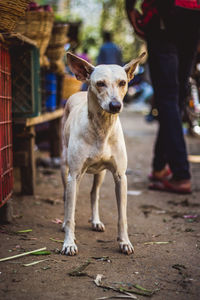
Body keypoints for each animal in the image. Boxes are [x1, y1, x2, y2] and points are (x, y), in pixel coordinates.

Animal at [61, 51, 145, 255]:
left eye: (123, 82)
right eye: (100, 83)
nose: (115, 105)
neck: (102, 128)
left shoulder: (120, 176)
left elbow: (122, 216)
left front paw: (124, 242)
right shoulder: (74, 174)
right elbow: (70, 213)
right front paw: (69, 242)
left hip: (100, 173)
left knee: (94, 193)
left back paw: (96, 221)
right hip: (64, 165)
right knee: (67, 195)